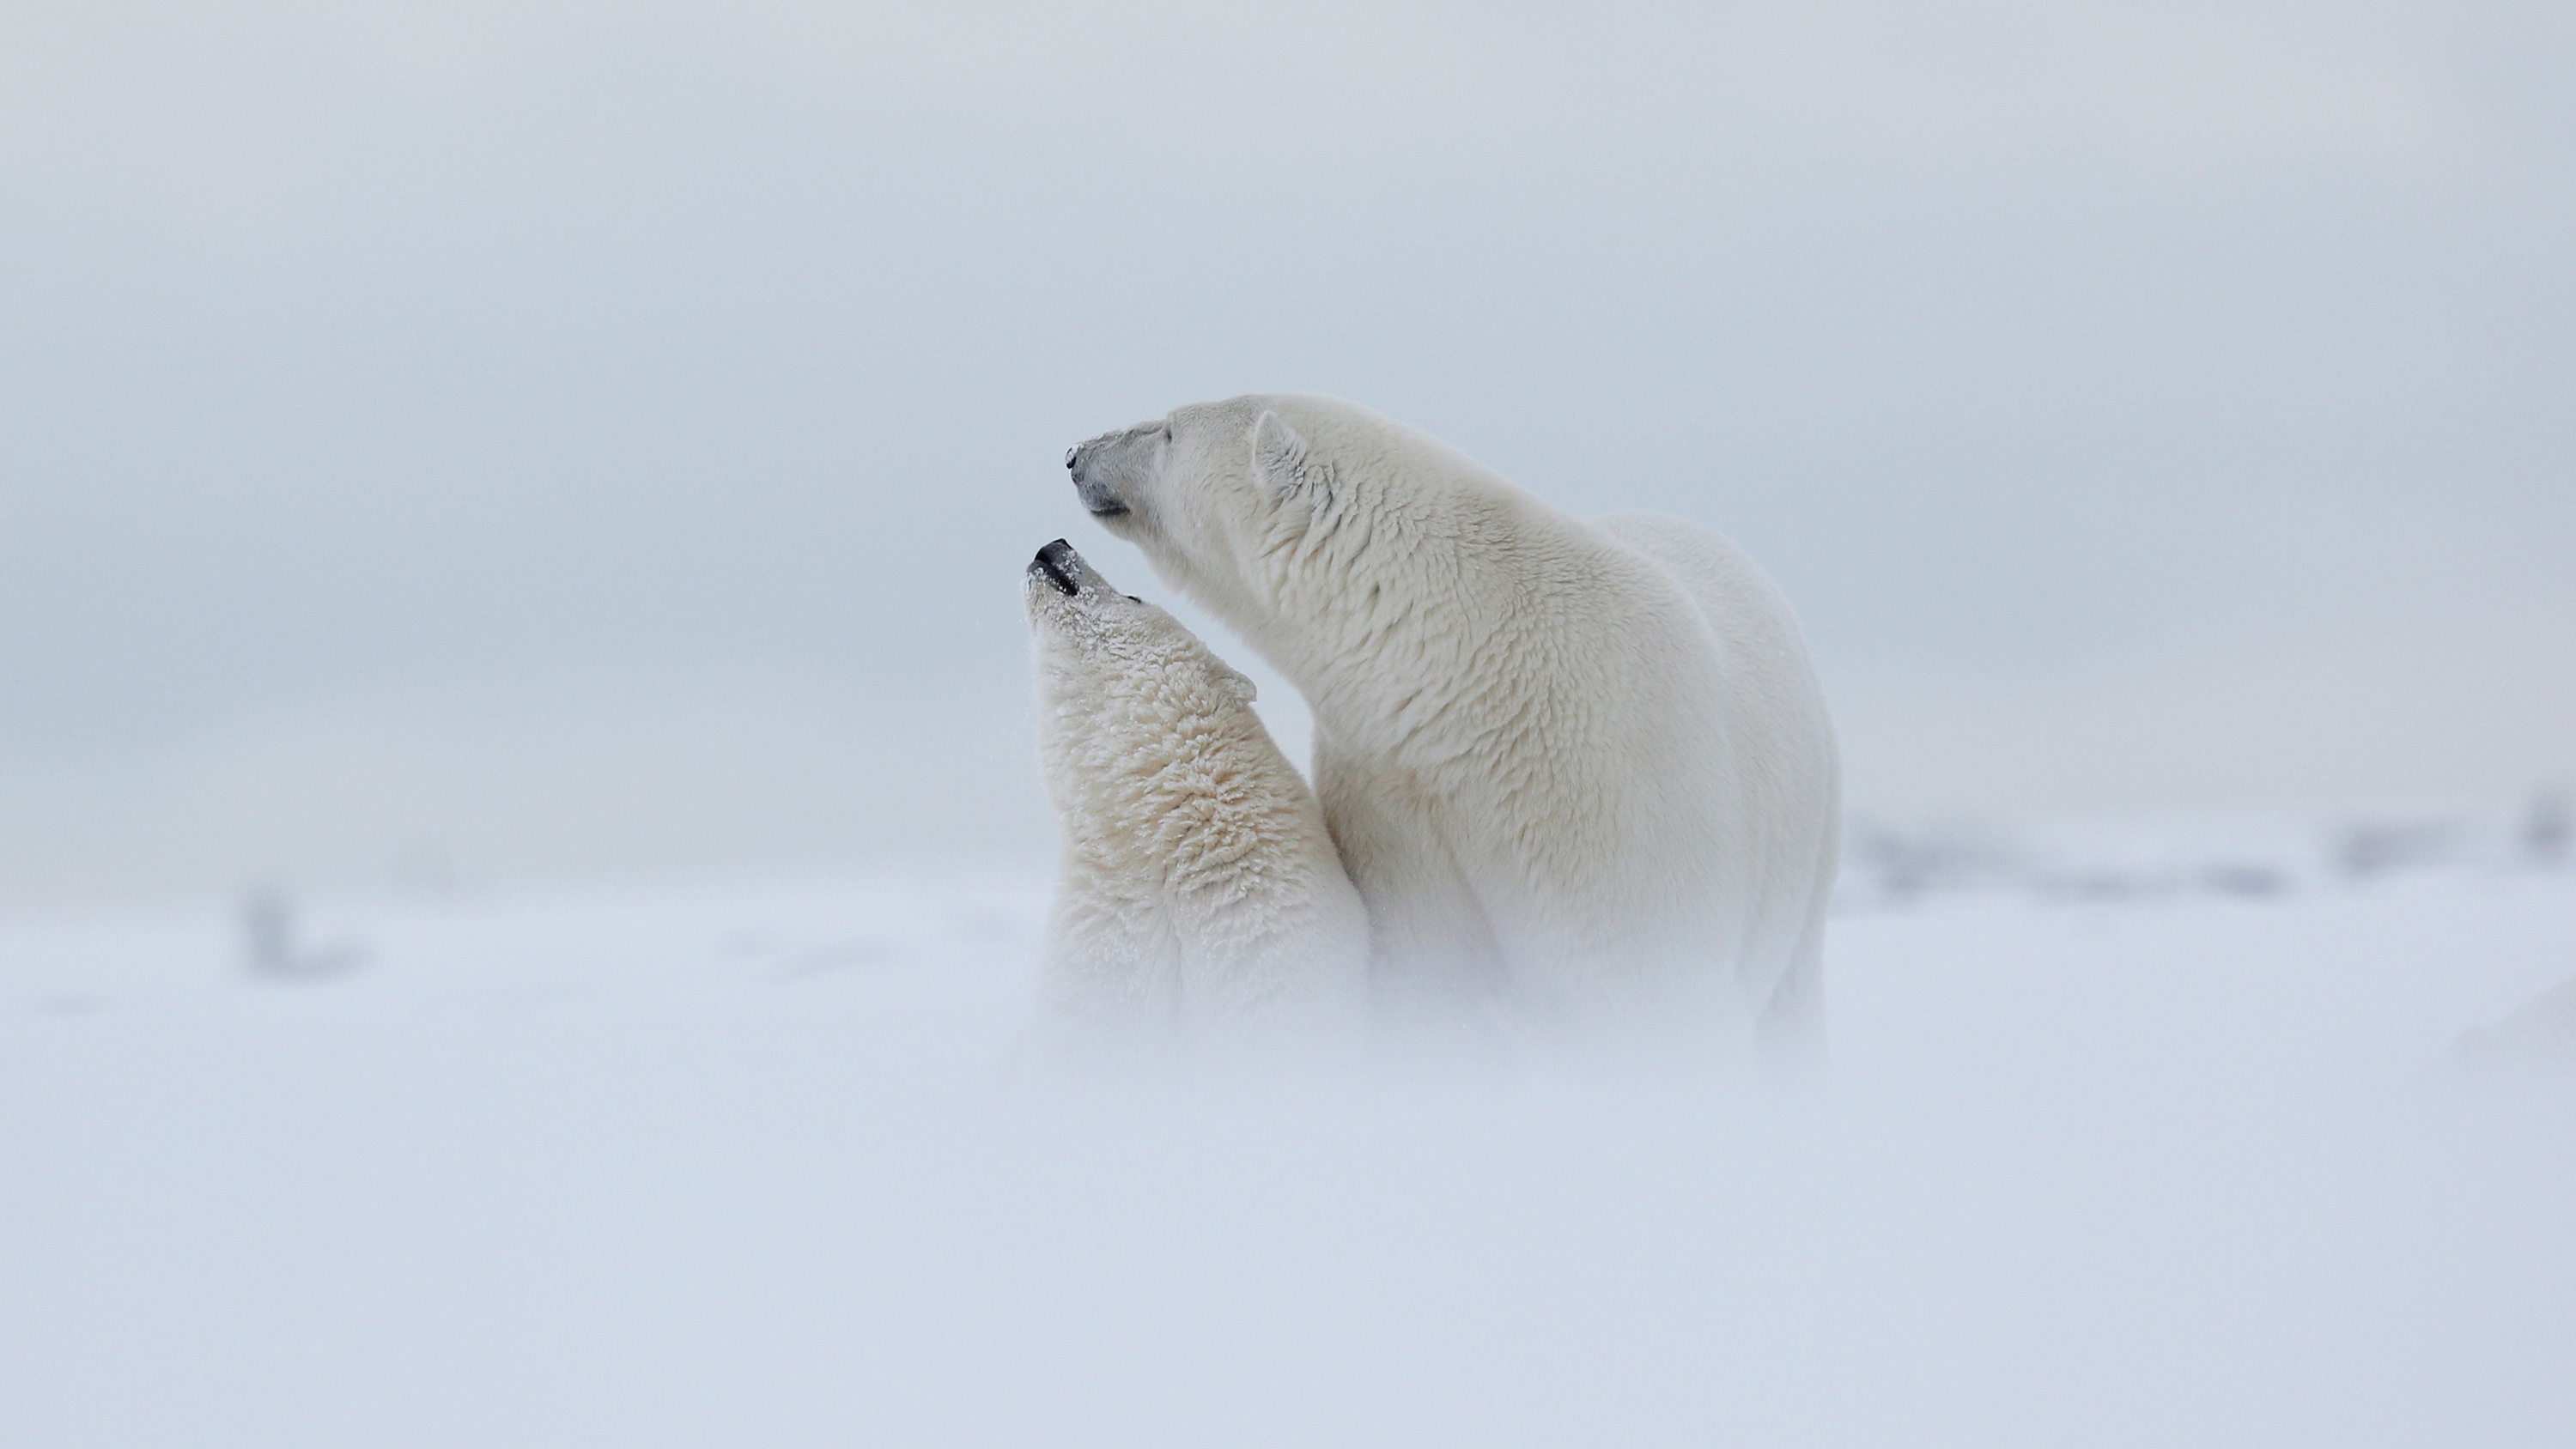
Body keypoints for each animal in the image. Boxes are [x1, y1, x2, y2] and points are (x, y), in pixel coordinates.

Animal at [1056, 391, 1844, 1060]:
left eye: (1167, 431)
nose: (1075, 453)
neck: (1473, 684)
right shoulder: (1397, 803)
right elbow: (1432, 983)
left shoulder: (1617, 800)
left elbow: (1644, 990)